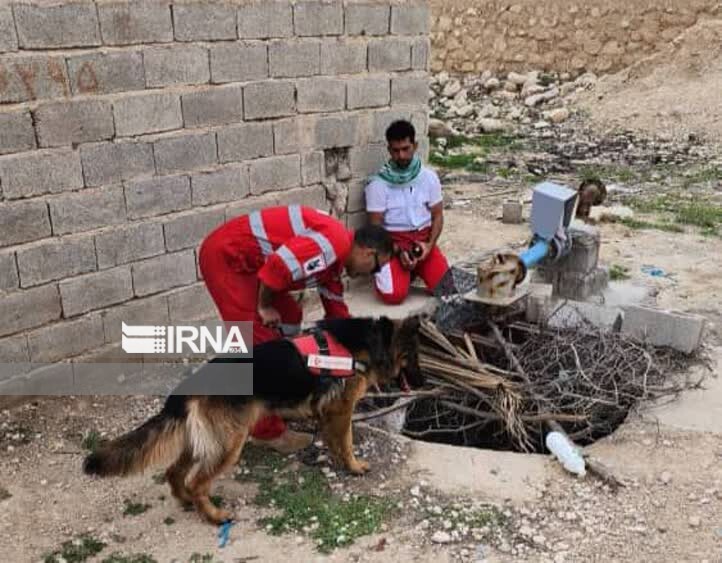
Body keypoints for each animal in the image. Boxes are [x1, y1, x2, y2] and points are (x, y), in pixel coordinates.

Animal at [83, 318, 422, 524]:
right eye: (414, 357)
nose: (421, 382)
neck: (371, 342)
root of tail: (191, 386)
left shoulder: (329, 411)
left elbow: (333, 440)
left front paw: (337, 461)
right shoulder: (342, 408)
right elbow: (347, 441)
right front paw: (353, 466)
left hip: (204, 440)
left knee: (175, 472)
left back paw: (186, 501)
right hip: (229, 442)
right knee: (196, 480)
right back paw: (214, 516)